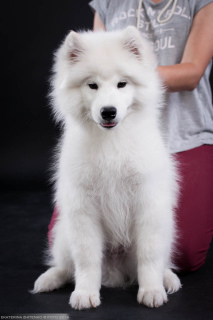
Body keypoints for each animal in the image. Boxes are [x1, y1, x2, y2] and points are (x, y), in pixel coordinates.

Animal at [32, 26, 181, 308]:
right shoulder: (82, 207)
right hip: (64, 232)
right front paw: (85, 294)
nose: (108, 111)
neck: (111, 141)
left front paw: (151, 291)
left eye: (122, 84)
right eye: (92, 85)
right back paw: (49, 279)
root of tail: (116, 270)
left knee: (158, 259)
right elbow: (87, 258)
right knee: (66, 265)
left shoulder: (148, 201)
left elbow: (149, 255)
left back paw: (168, 279)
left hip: (166, 228)